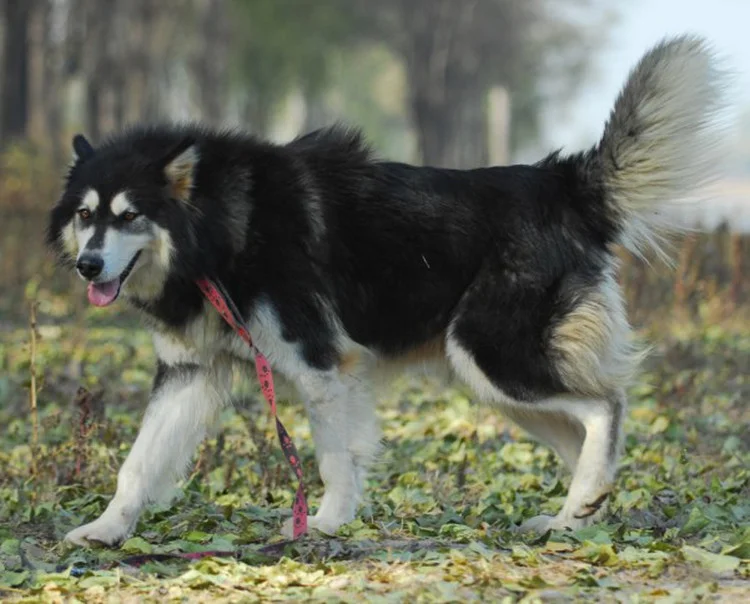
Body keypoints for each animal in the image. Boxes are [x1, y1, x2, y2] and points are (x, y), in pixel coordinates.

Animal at [48, 37, 728, 548]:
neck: (223, 228)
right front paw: (104, 528)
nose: (87, 266)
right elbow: (138, 463)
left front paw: (324, 523)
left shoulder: (322, 364)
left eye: (130, 216)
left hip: (492, 355)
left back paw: (582, 502)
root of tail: (557, 182)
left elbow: (334, 456)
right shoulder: (190, 373)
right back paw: (576, 517)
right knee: (582, 433)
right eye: (86, 215)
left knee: (605, 406)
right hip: (495, 382)